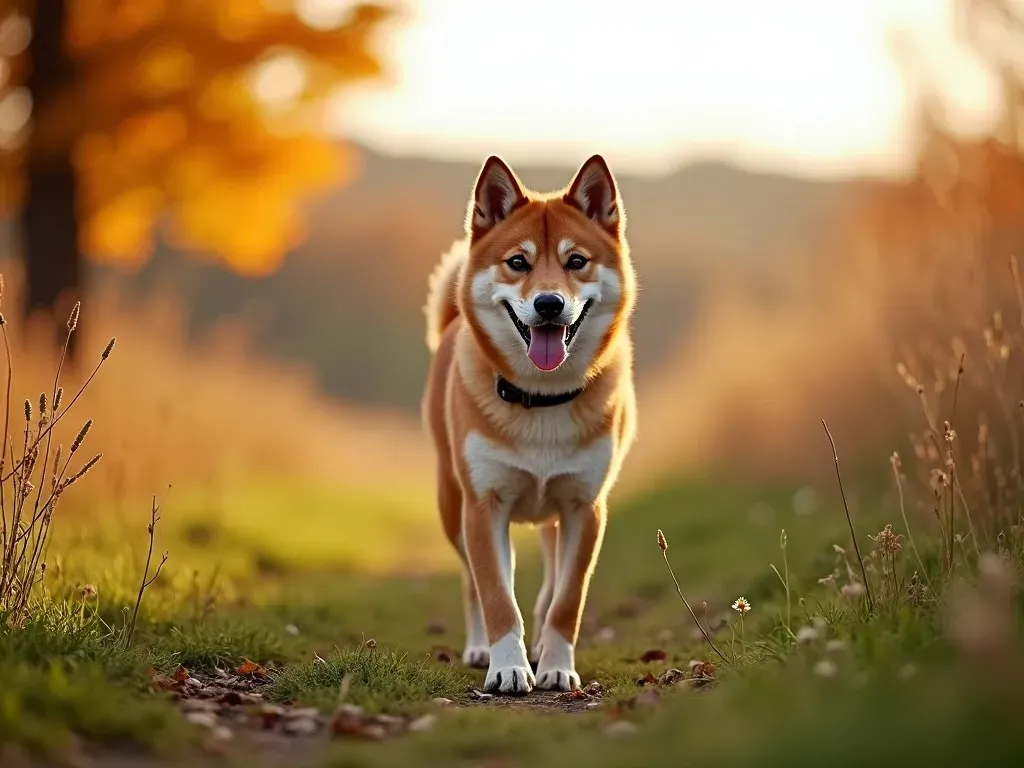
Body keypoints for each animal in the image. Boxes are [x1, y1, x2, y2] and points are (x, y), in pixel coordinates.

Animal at [421, 156, 630, 696]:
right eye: (518, 262)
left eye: (576, 261)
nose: (549, 304)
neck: (542, 397)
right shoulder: (483, 507)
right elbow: (497, 596)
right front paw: (508, 668)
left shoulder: (585, 509)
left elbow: (565, 601)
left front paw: (556, 665)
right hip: (453, 507)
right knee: (472, 583)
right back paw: (480, 648)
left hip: (553, 520)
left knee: (550, 582)